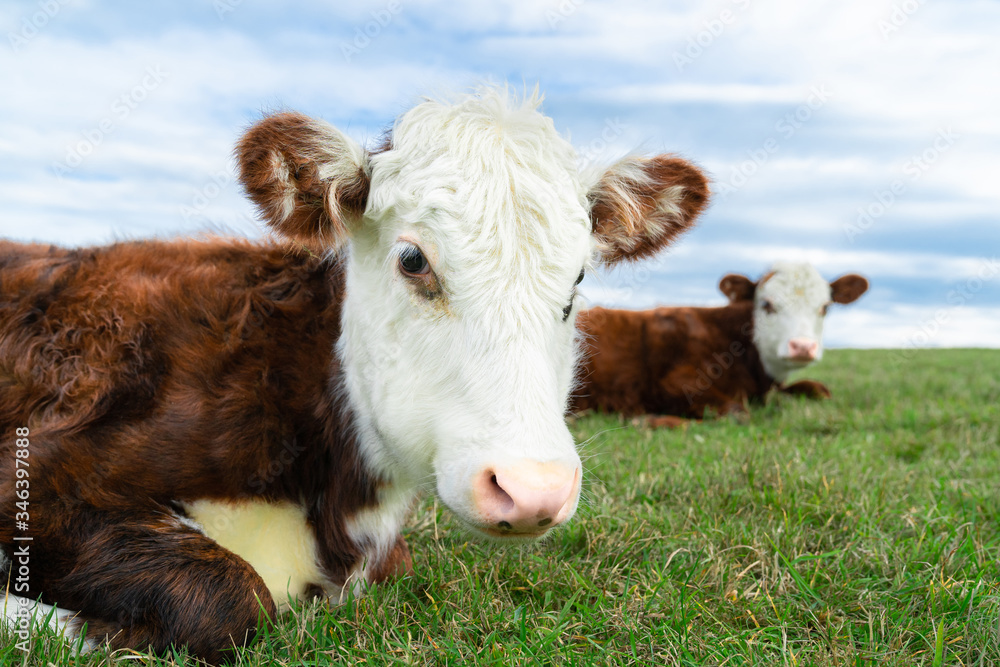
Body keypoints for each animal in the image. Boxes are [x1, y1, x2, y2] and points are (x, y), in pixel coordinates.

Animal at [576, 262, 872, 428]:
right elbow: (737, 413)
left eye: (825, 307)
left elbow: (820, 389)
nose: (802, 347)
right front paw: (649, 420)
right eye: (767, 304)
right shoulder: (676, 382)